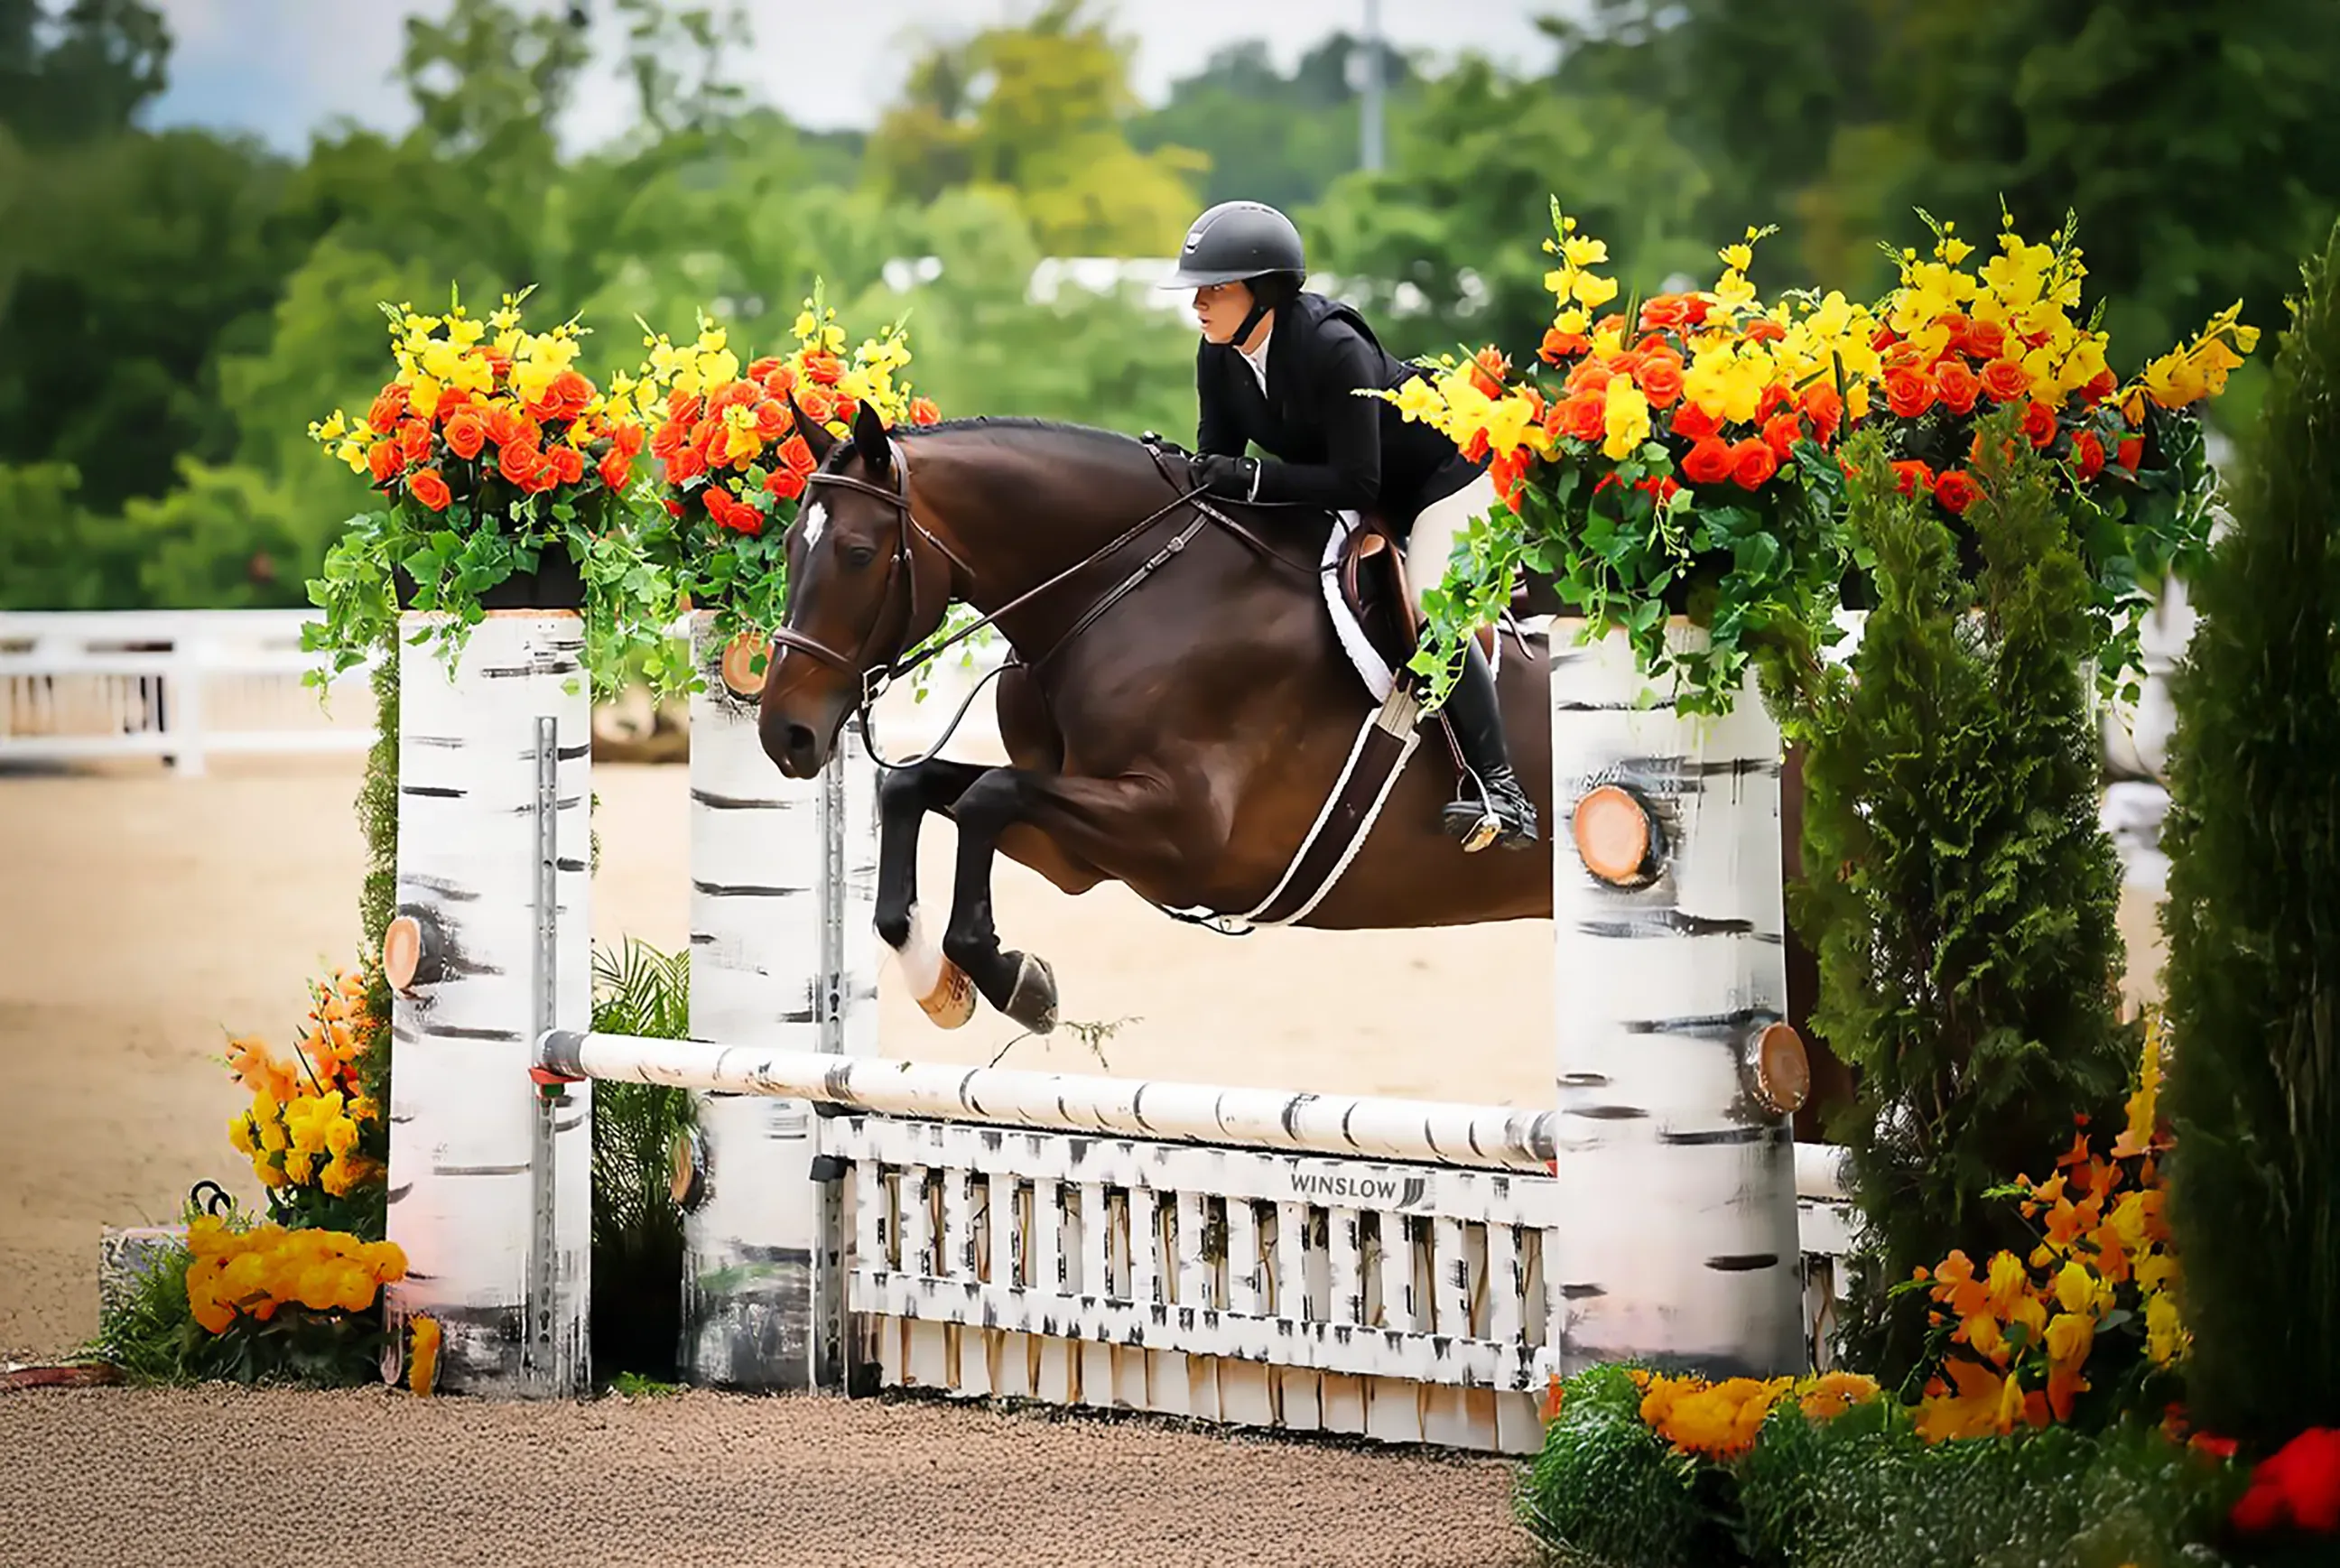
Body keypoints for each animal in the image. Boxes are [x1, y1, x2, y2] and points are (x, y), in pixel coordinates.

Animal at [756, 398, 1556, 1036]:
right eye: (791, 545)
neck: (1119, 587)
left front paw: (1018, 982)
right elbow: (914, 788)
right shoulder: (1078, 854)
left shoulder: (1184, 835)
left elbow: (986, 795)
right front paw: (939, 985)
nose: (784, 735)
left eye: (859, 553)